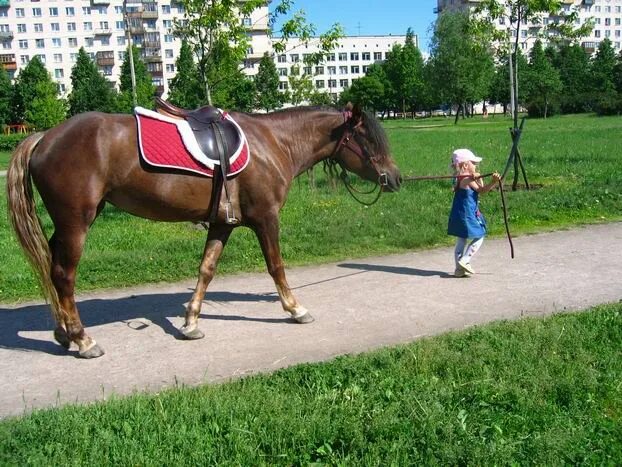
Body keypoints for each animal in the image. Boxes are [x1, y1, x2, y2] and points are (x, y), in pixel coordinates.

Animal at [6, 103, 400, 358]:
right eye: (370, 141)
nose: (395, 178)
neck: (274, 143)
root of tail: (44, 137)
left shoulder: (222, 223)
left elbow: (206, 269)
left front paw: (191, 322)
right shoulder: (266, 218)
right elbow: (276, 266)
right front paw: (295, 308)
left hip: (67, 224)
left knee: (52, 270)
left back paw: (63, 333)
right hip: (76, 222)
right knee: (63, 275)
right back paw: (83, 340)